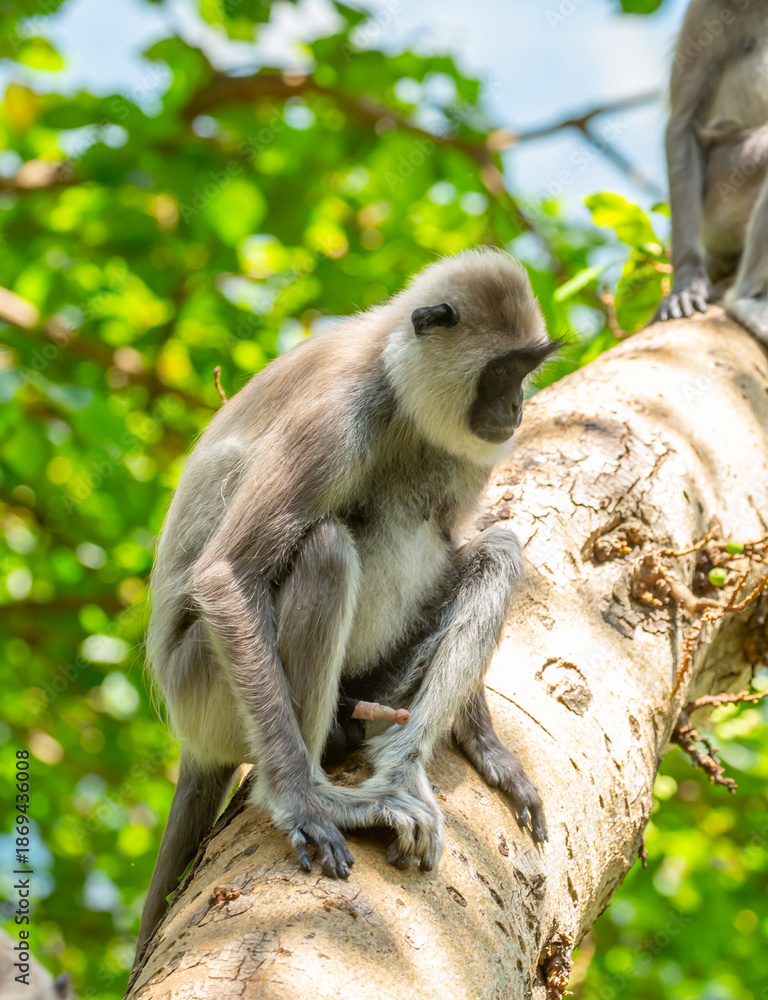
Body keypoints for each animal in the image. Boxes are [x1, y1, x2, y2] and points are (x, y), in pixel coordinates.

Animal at [135, 247, 553, 963]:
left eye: (527, 371)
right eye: (502, 372)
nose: (517, 406)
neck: (395, 378)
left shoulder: (465, 449)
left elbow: (464, 539)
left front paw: (487, 746)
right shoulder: (337, 412)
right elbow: (227, 574)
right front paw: (303, 806)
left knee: (496, 549)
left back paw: (393, 760)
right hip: (202, 685)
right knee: (325, 548)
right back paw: (327, 792)